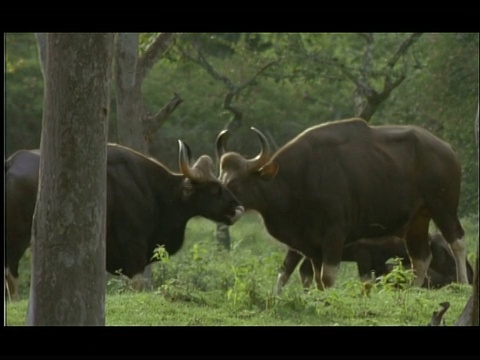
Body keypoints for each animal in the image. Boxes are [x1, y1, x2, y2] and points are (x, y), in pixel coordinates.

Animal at [3, 141, 244, 298]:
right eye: (214, 188)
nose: (238, 209)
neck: (154, 191)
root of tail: (10, 165)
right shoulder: (133, 249)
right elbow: (135, 287)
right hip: (17, 238)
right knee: (11, 275)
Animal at [217, 118, 468, 292]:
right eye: (220, 179)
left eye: (235, 183)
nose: (228, 210)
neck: (296, 180)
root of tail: (448, 150)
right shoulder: (311, 245)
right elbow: (315, 278)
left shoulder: (334, 235)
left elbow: (327, 278)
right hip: (417, 219)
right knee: (421, 257)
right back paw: (412, 291)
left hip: (443, 207)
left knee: (457, 241)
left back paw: (463, 285)